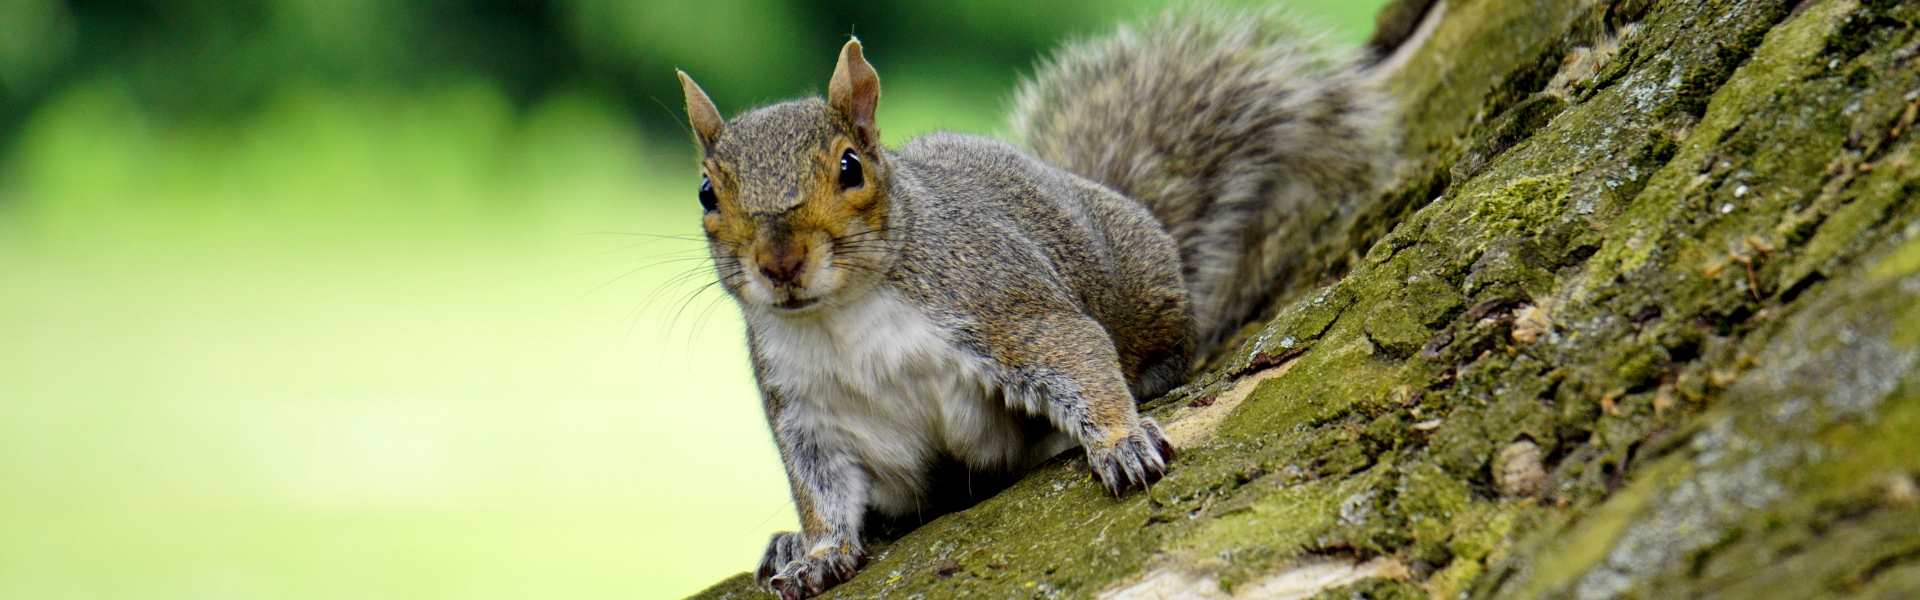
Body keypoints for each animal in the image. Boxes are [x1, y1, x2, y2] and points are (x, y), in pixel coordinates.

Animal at [675, 5, 1413, 600]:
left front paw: (1120, 442)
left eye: (851, 167)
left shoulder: (999, 303)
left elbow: (1078, 353)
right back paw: (787, 545)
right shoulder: (808, 411)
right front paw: (819, 552)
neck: (842, 317)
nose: (779, 264)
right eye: (707, 193)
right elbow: (822, 491)